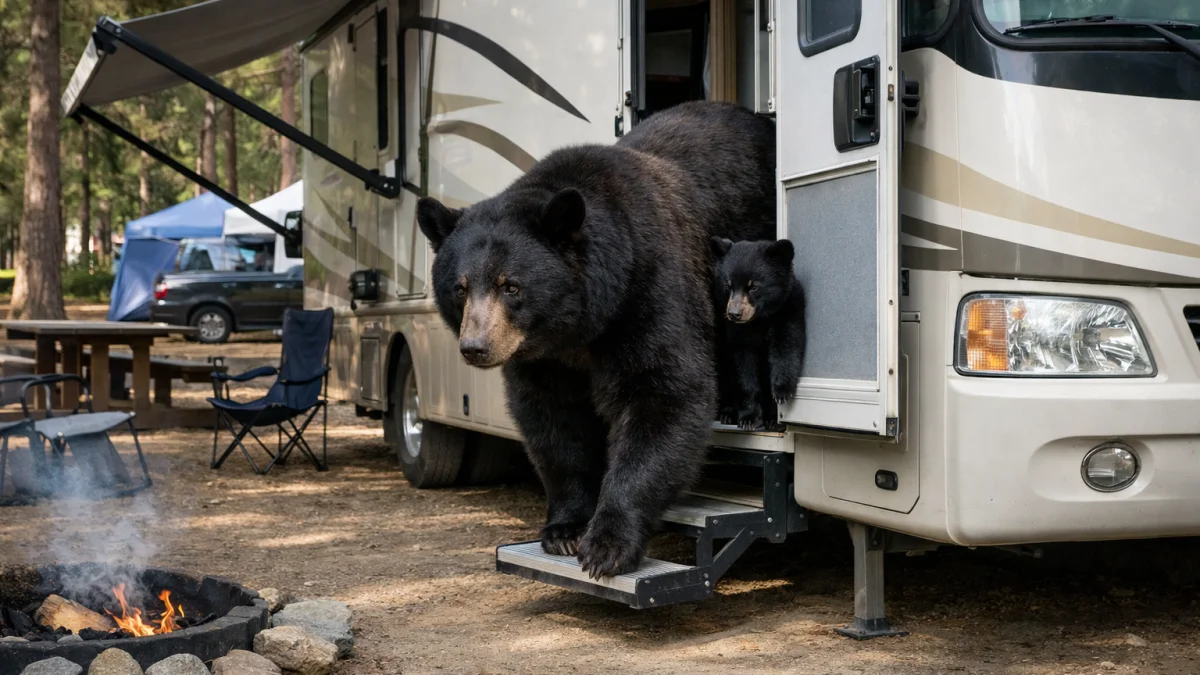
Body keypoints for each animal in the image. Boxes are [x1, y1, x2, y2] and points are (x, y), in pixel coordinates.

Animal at [415, 101, 776, 578]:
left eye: (510, 285)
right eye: (460, 287)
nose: (475, 347)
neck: (579, 325)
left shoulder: (649, 289)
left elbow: (664, 393)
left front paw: (608, 544)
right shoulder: (544, 358)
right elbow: (553, 421)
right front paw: (565, 528)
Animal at [711, 237, 807, 431]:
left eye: (753, 286)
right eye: (728, 286)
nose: (734, 314)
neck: (759, 319)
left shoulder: (789, 309)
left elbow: (786, 346)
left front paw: (780, 396)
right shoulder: (737, 332)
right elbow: (743, 366)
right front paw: (749, 418)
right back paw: (727, 414)